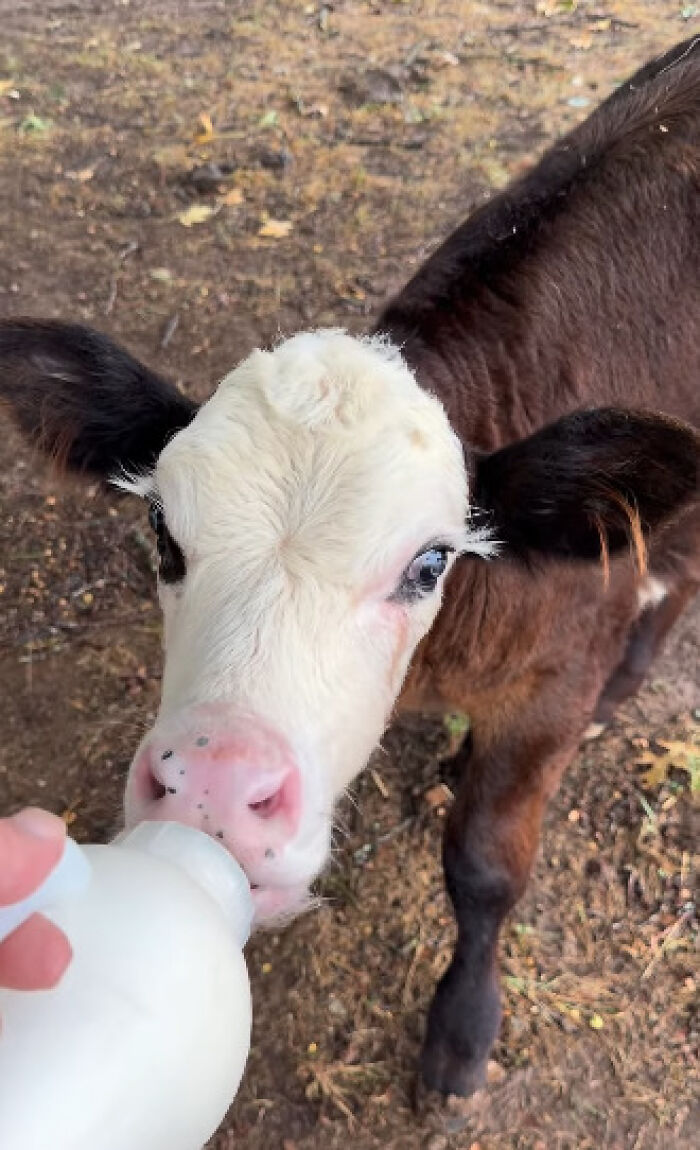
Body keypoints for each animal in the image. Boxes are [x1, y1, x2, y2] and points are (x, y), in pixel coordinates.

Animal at [1, 37, 698, 1097]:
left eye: (431, 562)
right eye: (164, 532)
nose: (211, 787)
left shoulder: (552, 685)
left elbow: (486, 866)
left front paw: (461, 1032)